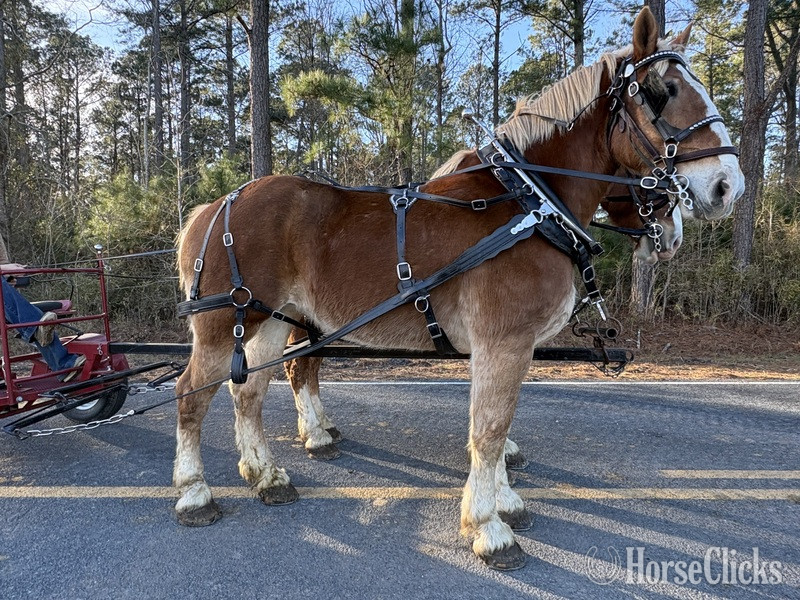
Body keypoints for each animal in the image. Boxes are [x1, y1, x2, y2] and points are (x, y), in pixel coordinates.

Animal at [172, 8, 744, 570]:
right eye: (663, 90)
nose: (727, 186)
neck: (529, 203)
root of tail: (216, 206)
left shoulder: (506, 347)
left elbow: (495, 427)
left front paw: (504, 501)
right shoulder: (503, 342)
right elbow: (489, 431)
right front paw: (490, 528)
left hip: (272, 318)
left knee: (248, 392)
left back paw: (266, 476)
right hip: (223, 323)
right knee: (191, 394)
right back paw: (195, 491)